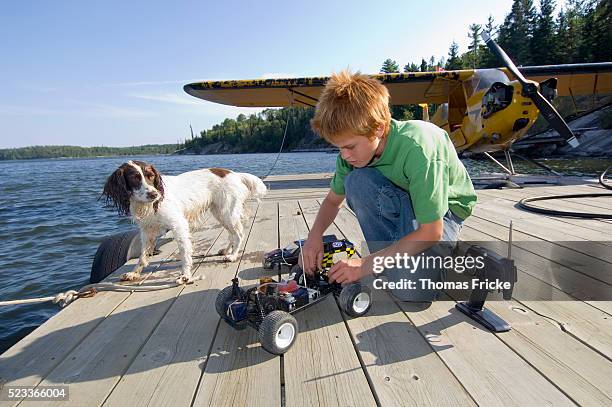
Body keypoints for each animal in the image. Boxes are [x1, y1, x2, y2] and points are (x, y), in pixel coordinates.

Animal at [101, 160, 266, 284]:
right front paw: (134, 273)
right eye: (135, 178)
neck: (148, 205)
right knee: (232, 234)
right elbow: (142, 256)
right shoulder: (147, 230)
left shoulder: (178, 224)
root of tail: (234, 174)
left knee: (238, 234)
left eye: (151, 176)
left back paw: (232, 256)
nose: (154, 194)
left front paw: (185, 275)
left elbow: (184, 253)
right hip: (220, 213)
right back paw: (227, 250)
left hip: (227, 212)